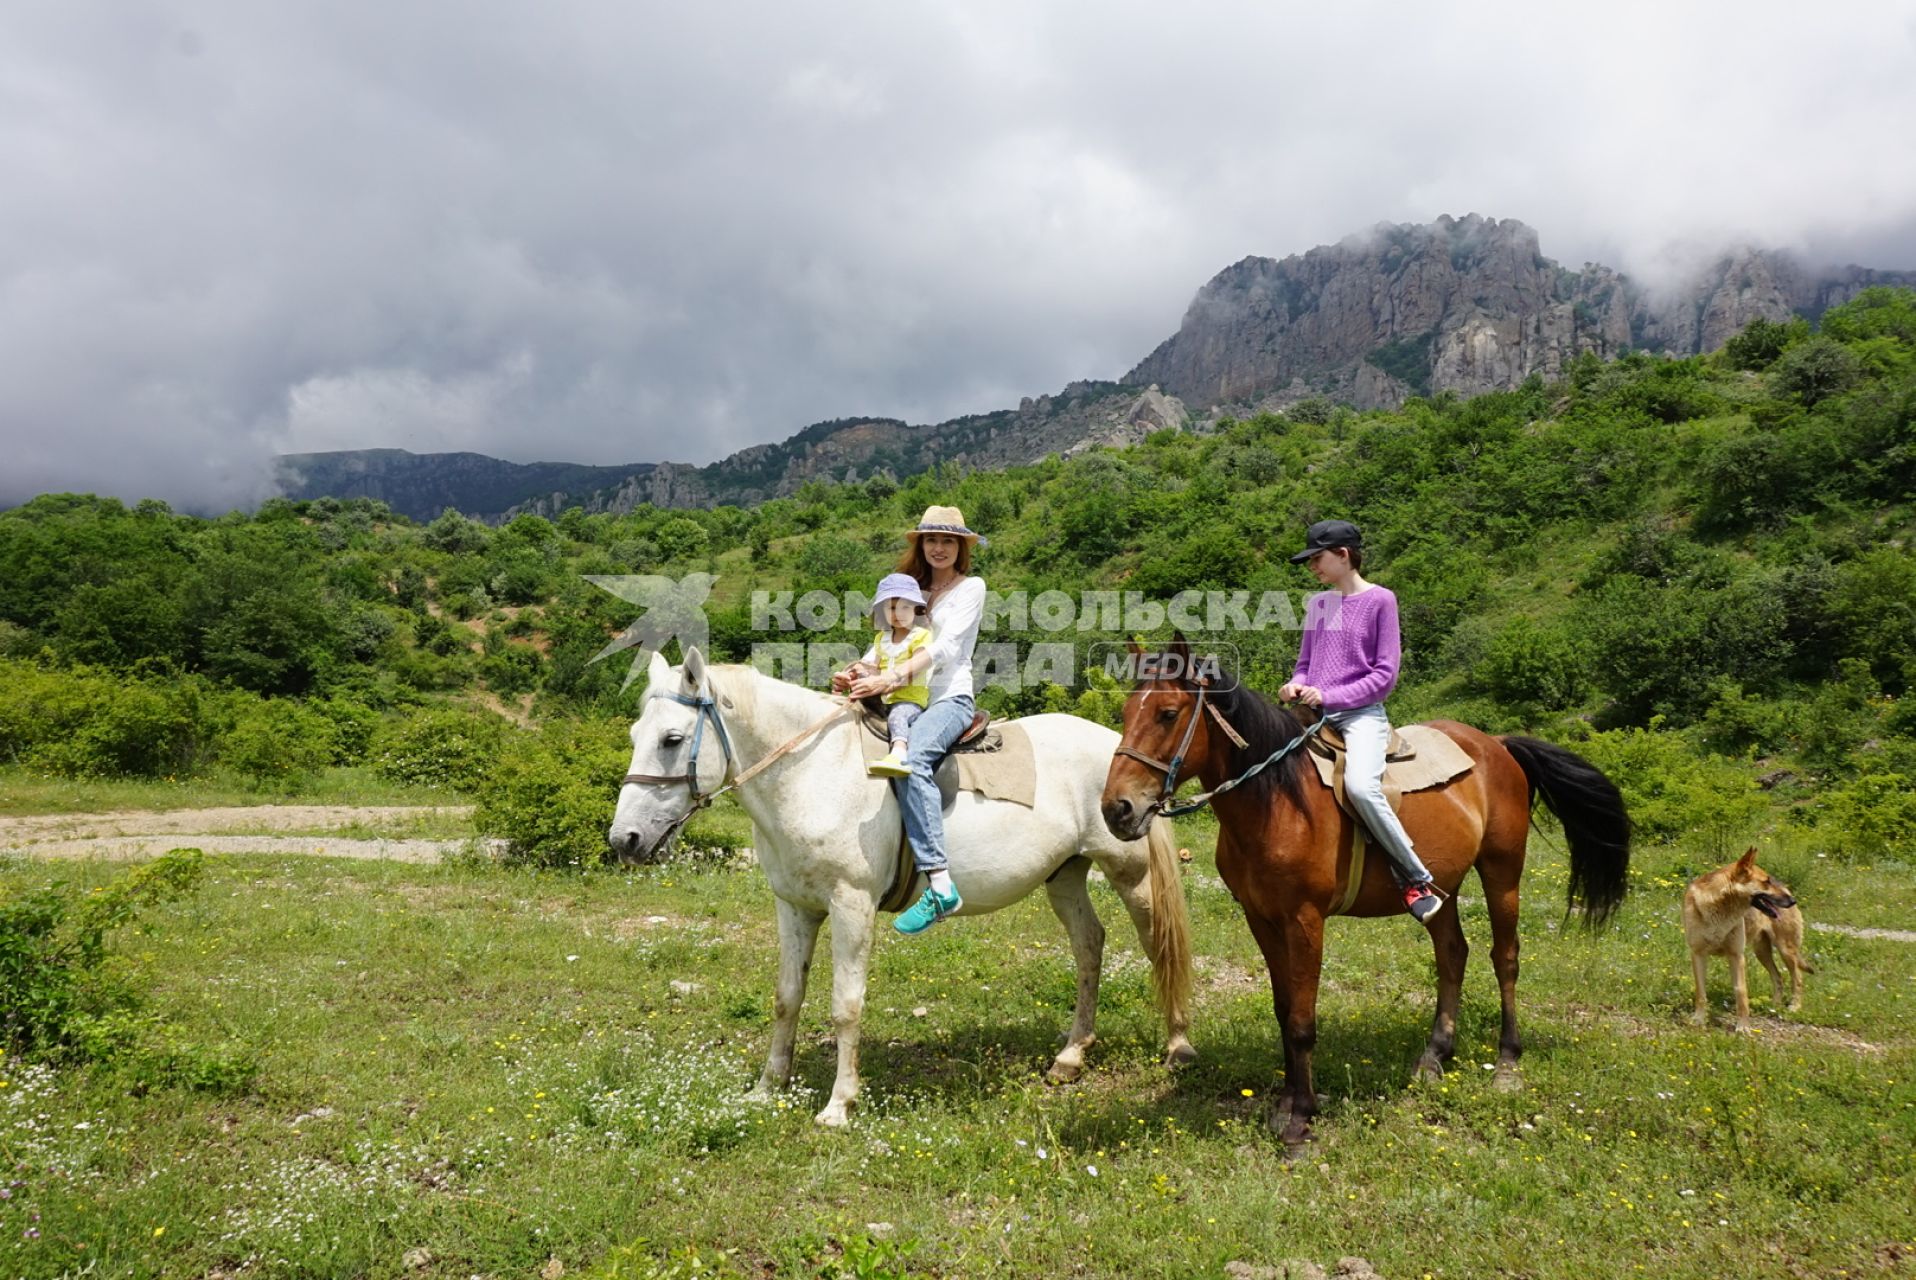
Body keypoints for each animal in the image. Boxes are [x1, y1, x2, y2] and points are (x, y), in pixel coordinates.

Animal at [605, 655, 1187, 1126]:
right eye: (636, 734)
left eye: (672, 740)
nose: (624, 839)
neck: (813, 775)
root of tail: (1116, 747)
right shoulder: (794, 907)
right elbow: (787, 997)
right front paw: (768, 1088)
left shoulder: (850, 905)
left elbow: (846, 1005)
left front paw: (839, 1105)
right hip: (1064, 876)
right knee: (1089, 945)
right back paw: (1070, 1058)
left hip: (1129, 873)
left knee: (1157, 944)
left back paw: (1178, 1045)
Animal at [1103, 640, 1624, 1149]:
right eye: (1127, 712)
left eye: (1168, 713)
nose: (1116, 809)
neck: (1278, 801)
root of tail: (1497, 745)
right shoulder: (1262, 919)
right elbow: (1283, 1009)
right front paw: (1286, 1104)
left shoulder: (1305, 920)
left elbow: (1302, 1022)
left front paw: (1300, 1122)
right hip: (1443, 885)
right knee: (1452, 954)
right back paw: (1434, 1056)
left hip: (1502, 873)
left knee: (1506, 958)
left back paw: (1508, 1062)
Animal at [1686, 850, 1801, 1027]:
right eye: (1766, 882)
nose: (1792, 900)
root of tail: (1786, 888)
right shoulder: (1698, 954)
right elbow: (1701, 992)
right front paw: (1699, 1019)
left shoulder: (1736, 956)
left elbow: (1741, 992)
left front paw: (1743, 1026)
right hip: (1762, 953)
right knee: (1778, 977)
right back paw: (1774, 1005)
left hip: (1785, 951)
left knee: (1797, 978)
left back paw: (1795, 1006)